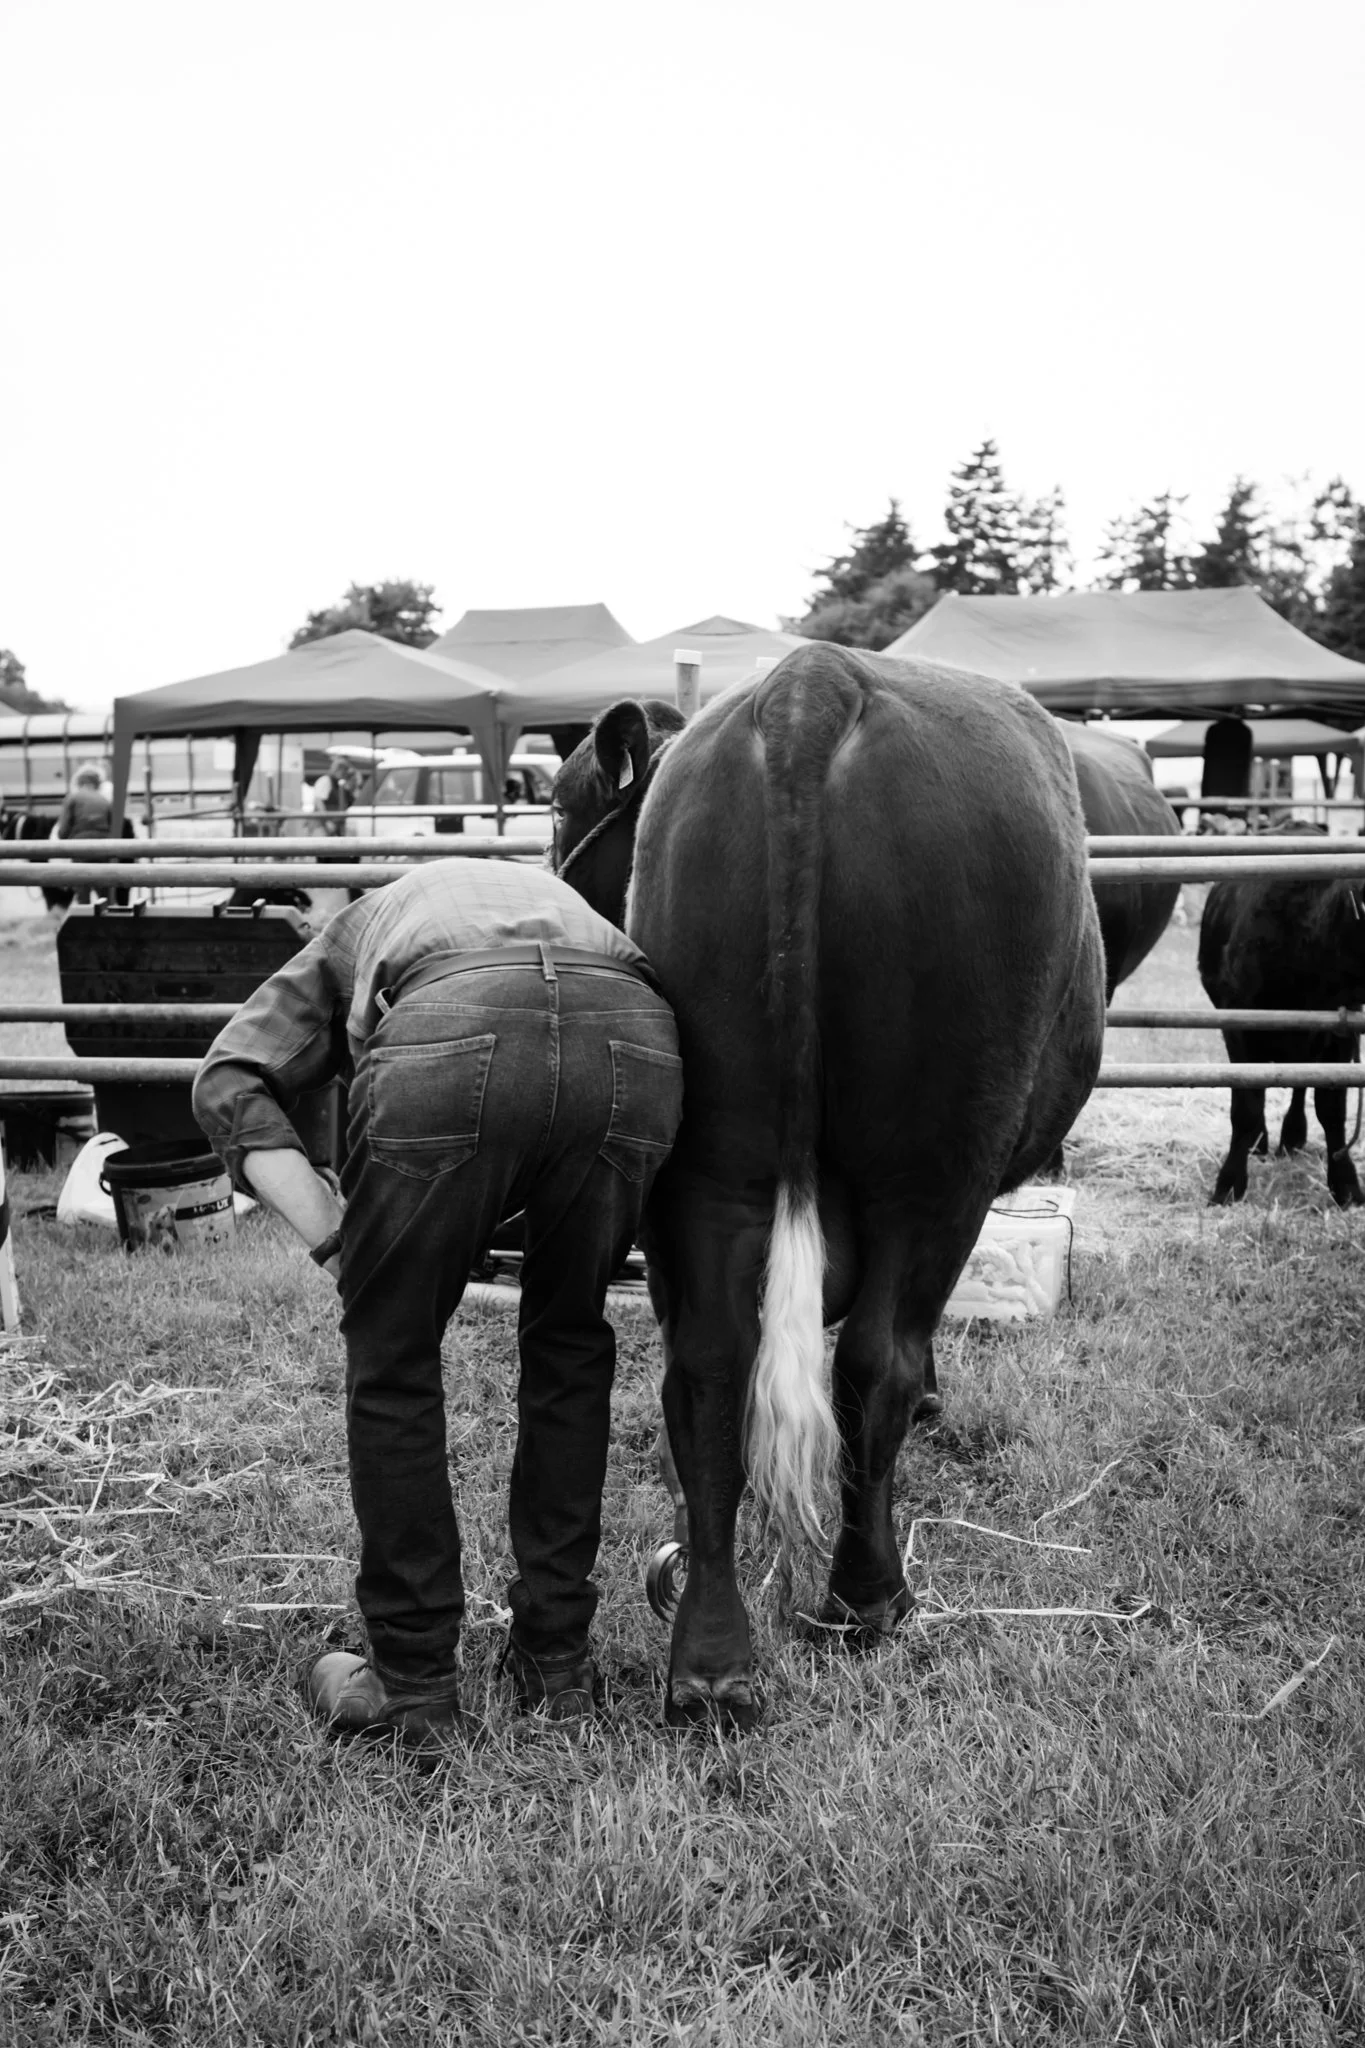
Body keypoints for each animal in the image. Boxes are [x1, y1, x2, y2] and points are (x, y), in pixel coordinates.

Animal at [550, 641, 1106, 1728]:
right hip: (937, 1160)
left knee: (709, 1370)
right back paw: (867, 1599)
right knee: (877, 1359)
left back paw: (712, 1661)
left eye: (557, 807)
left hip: (707, 1162)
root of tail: (816, 680)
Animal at [1198, 834, 1365, 1208]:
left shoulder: (1341, 1030)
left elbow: (1331, 1108)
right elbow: (1246, 1105)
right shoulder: (1238, 1024)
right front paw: (1229, 1183)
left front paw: (1346, 1185)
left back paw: (1292, 1135)